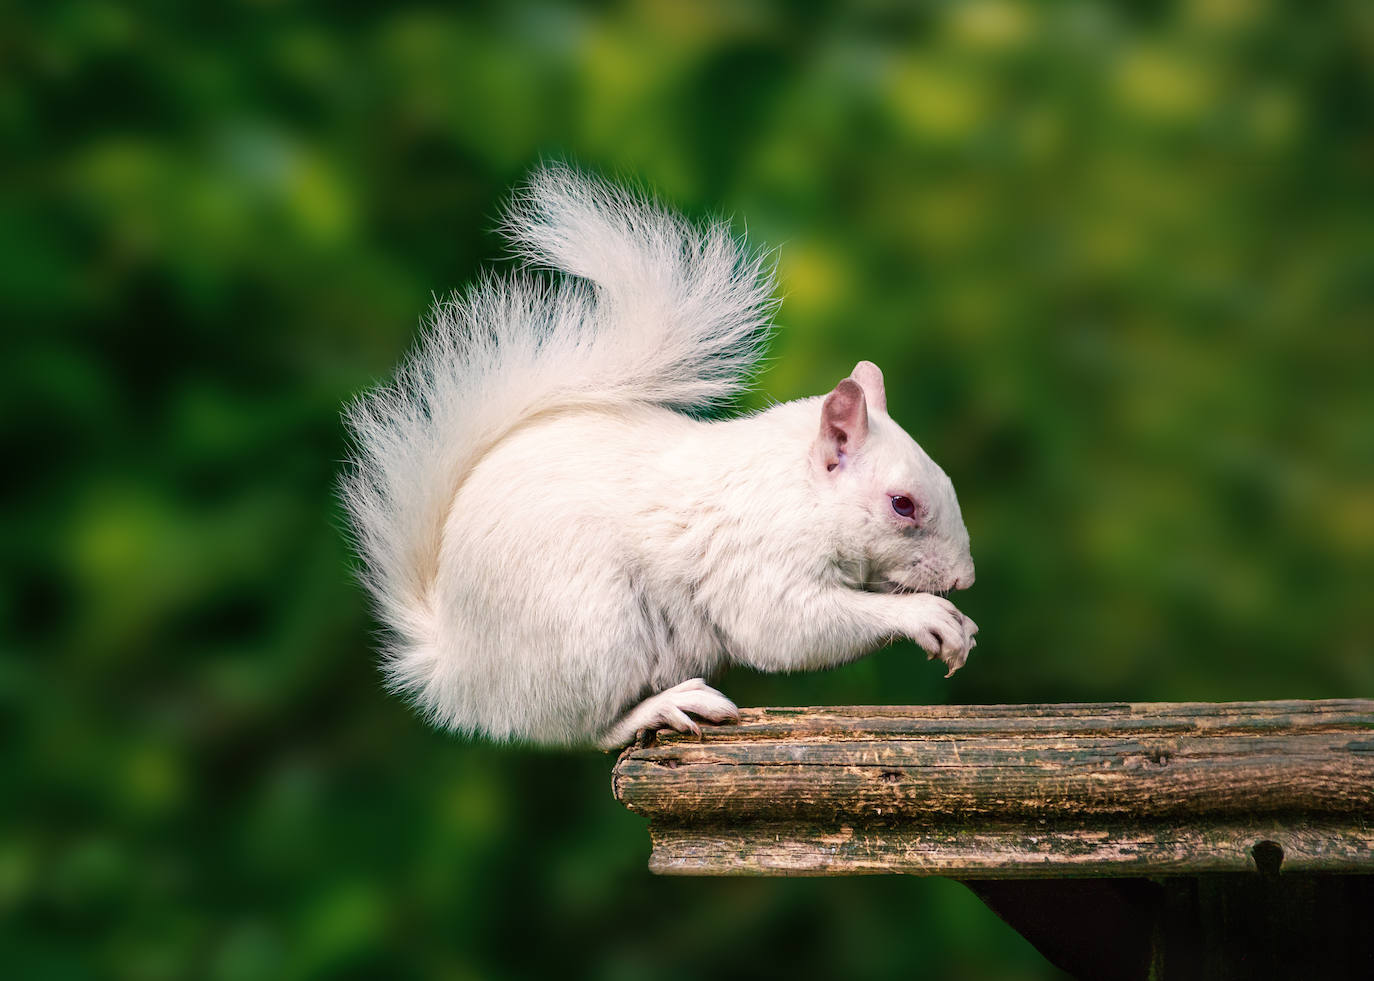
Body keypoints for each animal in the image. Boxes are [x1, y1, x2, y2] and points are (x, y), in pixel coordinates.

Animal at [343, 166, 983, 747]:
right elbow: (786, 626)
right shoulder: (756, 559)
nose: (965, 579)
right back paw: (665, 707)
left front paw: (961, 626)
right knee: (588, 730)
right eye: (901, 505)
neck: (796, 489)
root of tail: (459, 671)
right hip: (592, 632)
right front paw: (927, 617)